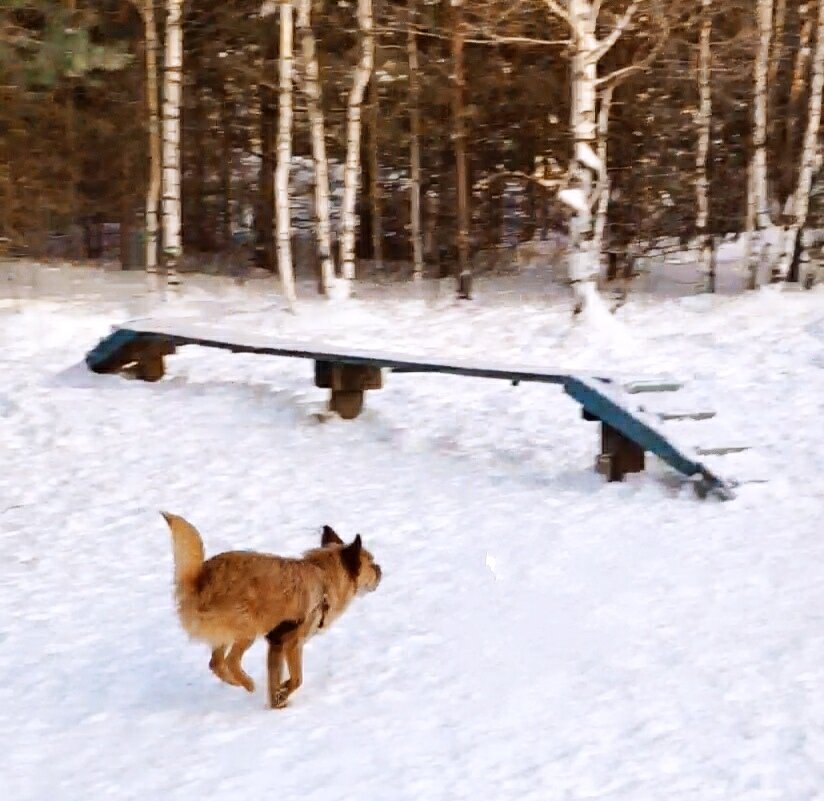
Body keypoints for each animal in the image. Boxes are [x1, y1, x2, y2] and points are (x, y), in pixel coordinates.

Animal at [161, 512, 384, 708]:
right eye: (371, 562)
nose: (380, 569)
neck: (323, 580)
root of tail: (198, 581)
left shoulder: (276, 644)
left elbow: (275, 679)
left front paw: (277, 702)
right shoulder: (293, 642)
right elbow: (297, 678)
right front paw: (283, 693)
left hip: (227, 634)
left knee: (216, 663)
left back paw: (236, 682)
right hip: (248, 628)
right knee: (231, 661)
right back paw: (248, 683)